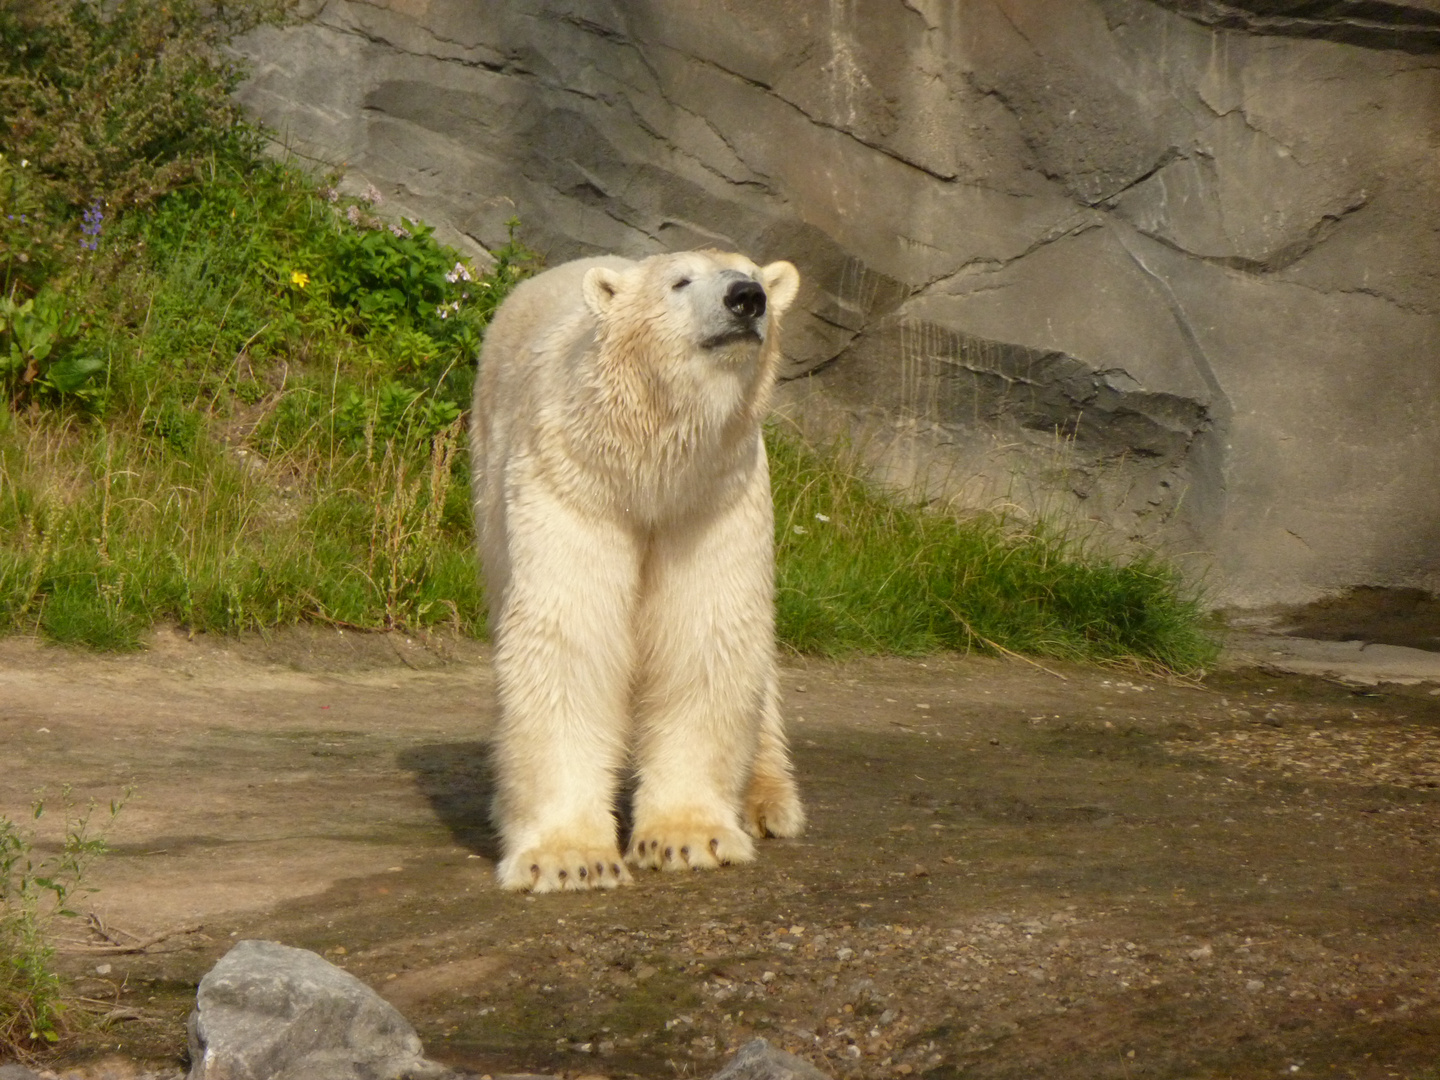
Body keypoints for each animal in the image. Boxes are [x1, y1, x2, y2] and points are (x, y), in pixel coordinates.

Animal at [472, 249, 812, 892]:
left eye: (754, 273)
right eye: (680, 282)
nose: (747, 298)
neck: (649, 468)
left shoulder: (712, 500)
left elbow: (704, 634)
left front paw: (688, 838)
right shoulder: (574, 483)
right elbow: (568, 639)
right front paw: (570, 859)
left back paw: (769, 800)